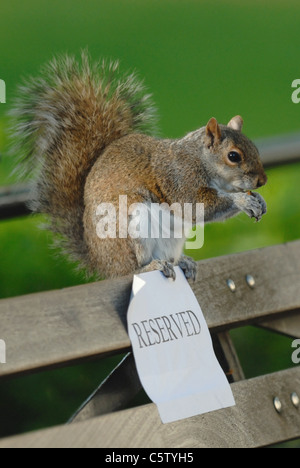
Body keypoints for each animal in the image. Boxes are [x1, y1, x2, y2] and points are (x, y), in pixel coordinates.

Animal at [9, 54, 268, 282]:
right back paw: (150, 266)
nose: (262, 182)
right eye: (233, 156)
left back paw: (183, 262)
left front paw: (258, 200)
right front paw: (241, 200)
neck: (199, 159)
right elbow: (196, 206)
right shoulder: (178, 177)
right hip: (132, 226)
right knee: (131, 269)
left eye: (255, 147)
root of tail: (101, 263)